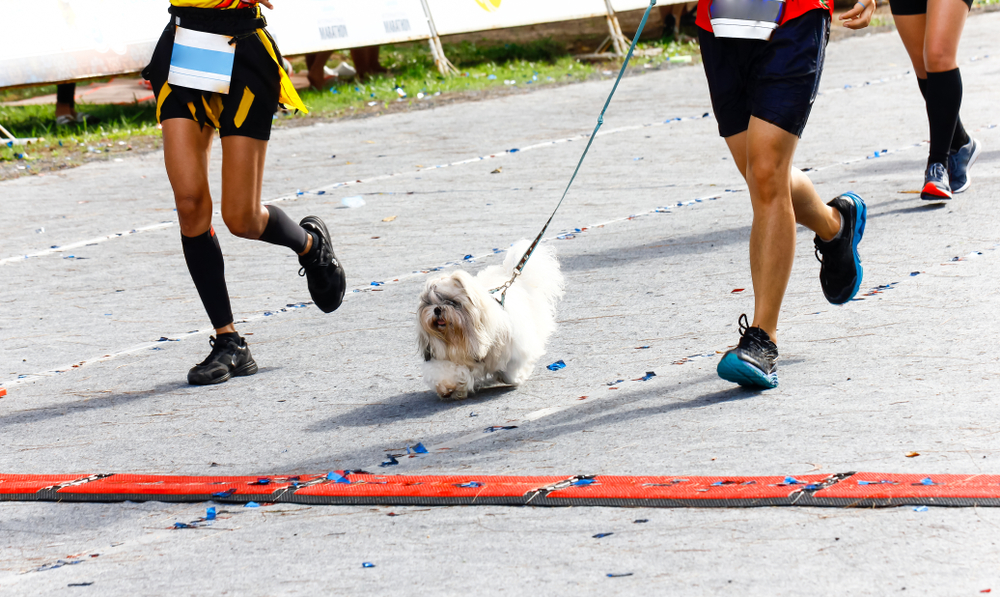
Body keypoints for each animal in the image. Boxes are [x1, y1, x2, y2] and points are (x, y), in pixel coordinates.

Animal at [418, 239, 568, 400]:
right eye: (429, 303)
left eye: (452, 302)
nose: (437, 309)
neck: (463, 339)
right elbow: (448, 372)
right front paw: (449, 387)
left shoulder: (515, 349)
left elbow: (512, 368)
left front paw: (514, 377)